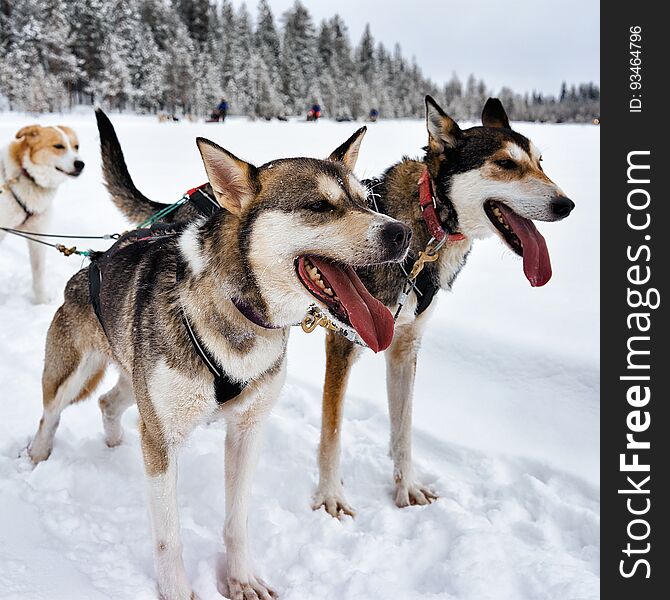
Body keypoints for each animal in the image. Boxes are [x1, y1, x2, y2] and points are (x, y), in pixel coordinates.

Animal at [0, 124, 85, 302]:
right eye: (58, 146)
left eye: (76, 146)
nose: (80, 163)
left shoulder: (38, 235)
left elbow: (38, 273)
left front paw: (41, 302)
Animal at [28, 110, 412, 596]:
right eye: (319, 206)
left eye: (367, 201)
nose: (402, 232)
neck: (238, 309)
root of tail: (97, 257)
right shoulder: (163, 440)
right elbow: (168, 535)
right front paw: (176, 591)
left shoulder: (247, 430)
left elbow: (237, 519)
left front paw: (241, 578)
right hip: (75, 373)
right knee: (50, 413)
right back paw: (36, 457)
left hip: (139, 387)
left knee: (108, 402)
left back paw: (114, 443)